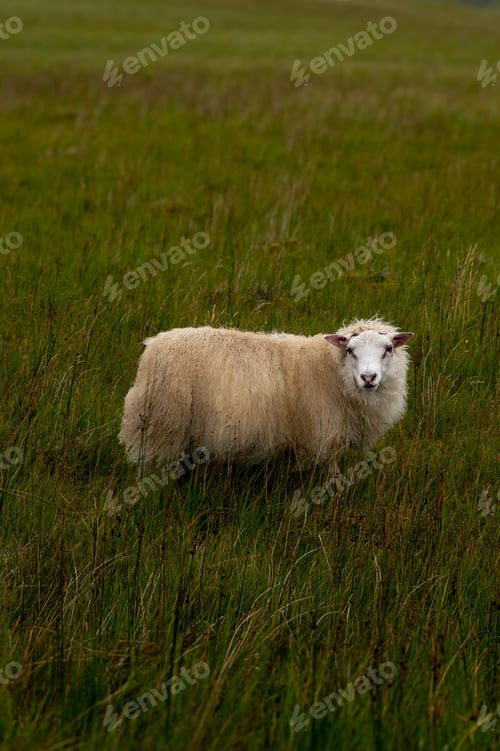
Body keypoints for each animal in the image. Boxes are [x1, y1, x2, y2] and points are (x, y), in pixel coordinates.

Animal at [118, 318, 414, 470]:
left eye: (388, 349)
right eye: (350, 350)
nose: (368, 378)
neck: (330, 370)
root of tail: (153, 347)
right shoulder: (322, 434)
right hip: (164, 425)